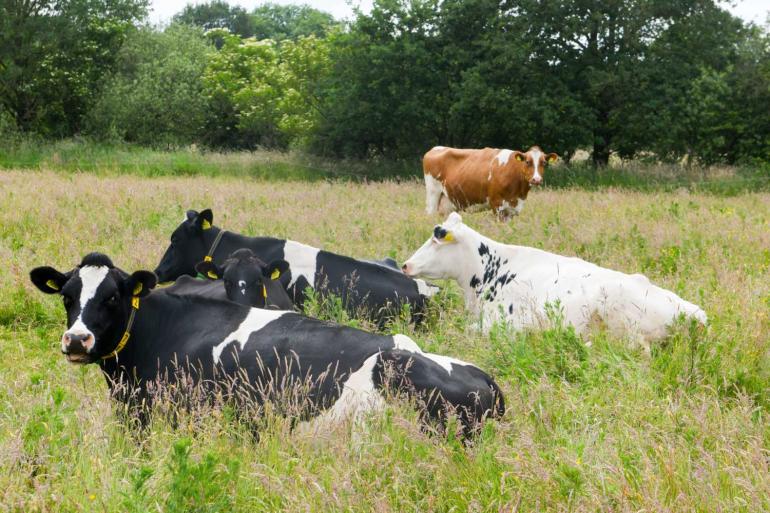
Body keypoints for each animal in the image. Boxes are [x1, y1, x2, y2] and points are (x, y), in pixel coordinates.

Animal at [420, 144, 560, 220]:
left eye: (544, 162)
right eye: (527, 162)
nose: (536, 179)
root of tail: (435, 148)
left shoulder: (514, 209)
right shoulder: (496, 204)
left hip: (447, 202)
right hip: (433, 195)